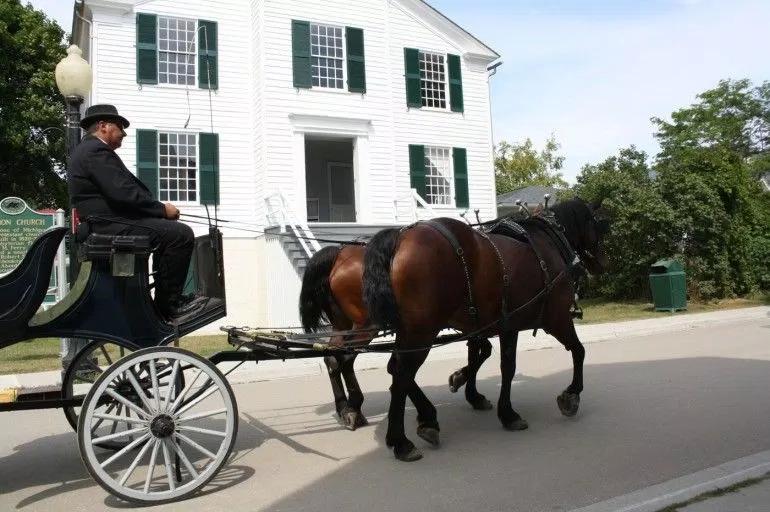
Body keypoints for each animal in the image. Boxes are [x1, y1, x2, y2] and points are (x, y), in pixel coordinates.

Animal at [296, 244, 496, 432]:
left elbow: (480, 351)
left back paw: (345, 408)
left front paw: (468, 388)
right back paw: (355, 405)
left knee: (333, 358)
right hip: (368, 325)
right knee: (347, 357)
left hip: (342, 325)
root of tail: (340, 254)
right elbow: (481, 351)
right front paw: (466, 386)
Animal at [358, 198, 608, 462]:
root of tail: (401, 236)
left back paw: (423, 421)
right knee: (402, 374)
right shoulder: (557, 318)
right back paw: (401, 440)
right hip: (422, 330)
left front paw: (483, 397)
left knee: (396, 368)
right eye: (600, 225)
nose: (604, 262)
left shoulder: (502, 324)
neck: (550, 240)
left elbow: (497, 362)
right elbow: (577, 351)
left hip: (409, 330)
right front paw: (570, 395)